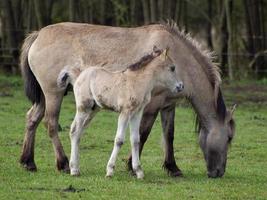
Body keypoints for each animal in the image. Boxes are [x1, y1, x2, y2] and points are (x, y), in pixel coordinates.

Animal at [57, 47, 185, 178]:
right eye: (172, 68)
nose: (180, 86)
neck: (137, 82)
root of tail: (79, 75)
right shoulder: (125, 112)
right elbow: (119, 140)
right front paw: (110, 170)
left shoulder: (137, 113)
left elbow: (135, 140)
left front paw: (138, 171)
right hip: (83, 108)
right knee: (74, 130)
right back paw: (74, 170)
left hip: (93, 110)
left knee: (79, 133)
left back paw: (77, 168)